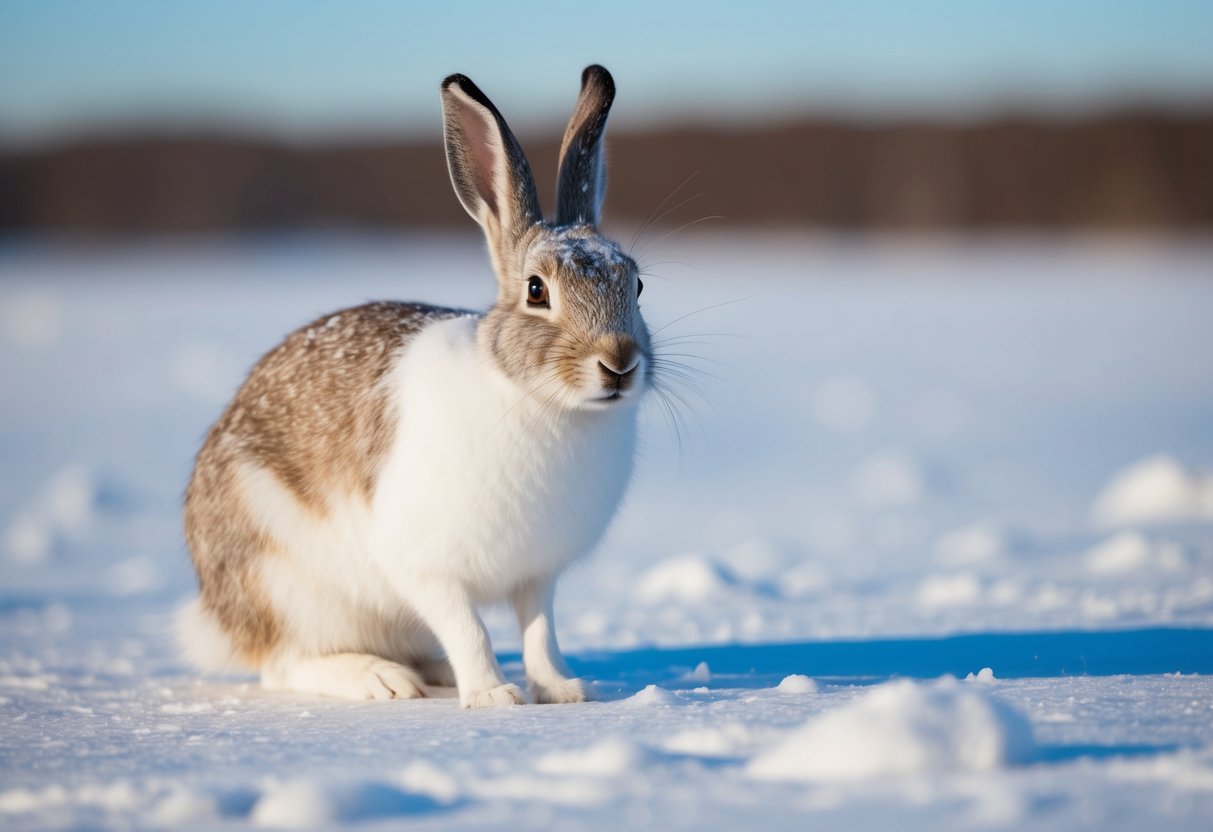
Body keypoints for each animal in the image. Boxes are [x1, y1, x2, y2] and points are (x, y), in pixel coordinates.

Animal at [180, 65, 650, 708]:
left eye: (638, 284)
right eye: (536, 291)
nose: (620, 363)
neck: (537, 400)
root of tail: (218, 612)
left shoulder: (537, 576)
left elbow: (539, 631)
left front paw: (563, 690)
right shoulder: (426, 568)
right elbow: (469, 628)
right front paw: (493, 697)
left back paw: (431, 673)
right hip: (290, 585)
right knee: (284, 662)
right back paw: (381, 680)